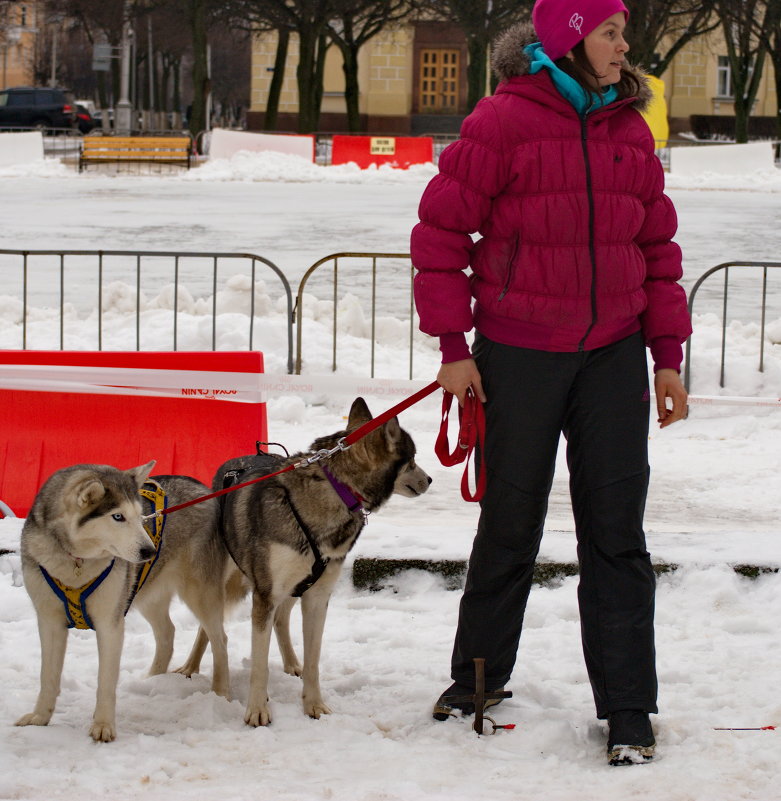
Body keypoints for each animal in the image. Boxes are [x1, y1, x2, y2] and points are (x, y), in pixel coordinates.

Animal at [16, 462, 229, 744]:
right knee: (167, 633)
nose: (149, 551)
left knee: (220, 640)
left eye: (140, 516)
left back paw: (222, 693)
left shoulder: (110, 624)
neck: (75, 562)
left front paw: (103, 726)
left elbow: (106, 682)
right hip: (146, 592)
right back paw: (153, 680)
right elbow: (47, 677)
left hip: (199, 595)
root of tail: (203, 487)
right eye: (118, 517)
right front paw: (40, 717)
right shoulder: (49, 622)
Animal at [179, 396, 430, 724]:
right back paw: (191, 667)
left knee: (279, 620)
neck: (335, 489)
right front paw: (257, 711)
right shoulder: (265, 595)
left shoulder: (317, 596)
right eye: (412, 459)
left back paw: (290, 663)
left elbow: (314, 660)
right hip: (223, 582)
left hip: (292, 586)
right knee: (209, 626)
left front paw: (314, 705)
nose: (430, 479)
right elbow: (259, 664)